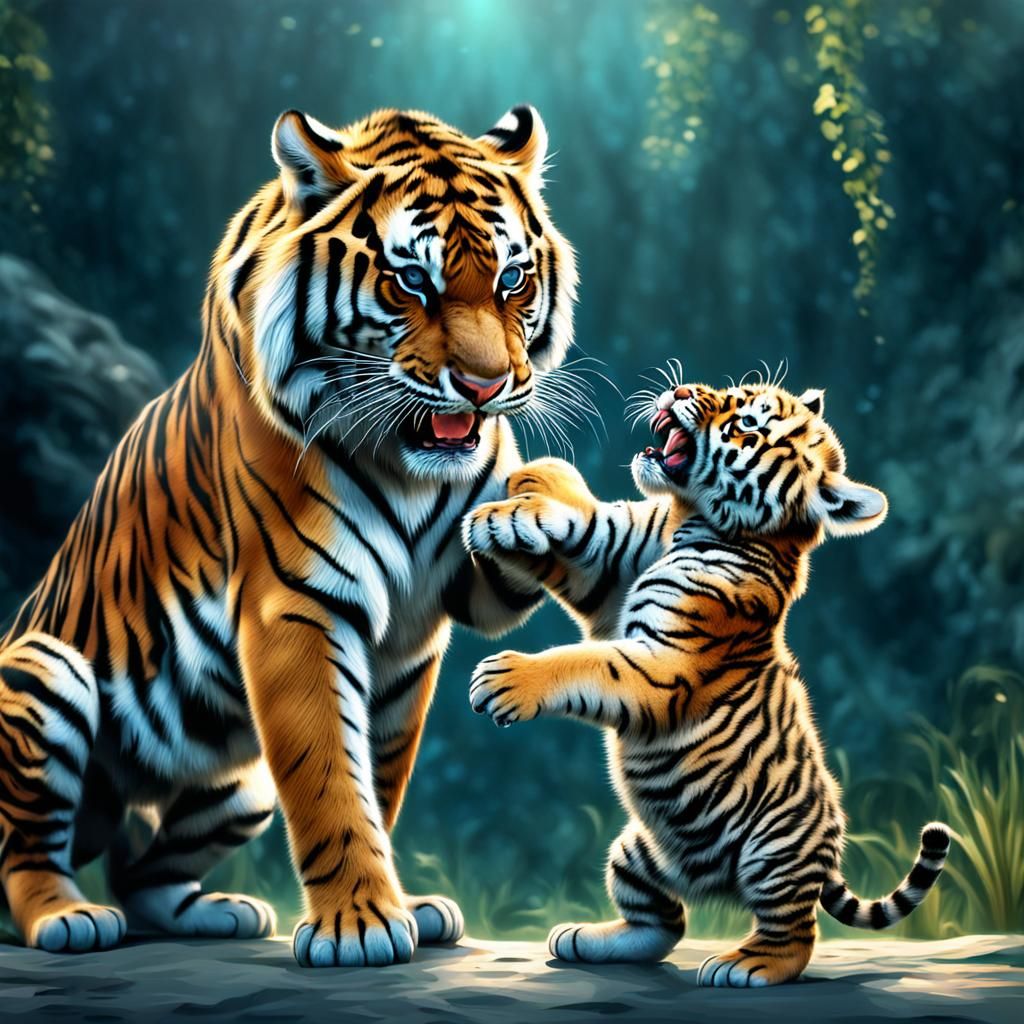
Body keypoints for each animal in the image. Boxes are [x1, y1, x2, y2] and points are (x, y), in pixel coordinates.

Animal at [0, 104, 587, 967]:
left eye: (513, 279)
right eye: (412, 281)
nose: (485, 388)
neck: (410, 465)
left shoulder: (430, 617)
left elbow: (382, 777)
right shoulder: (299, 606)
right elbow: (331, 781)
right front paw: (362, 925)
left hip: (238, 785)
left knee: (142, 875)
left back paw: (219, 912)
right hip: (47, 671)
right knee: (28, 850)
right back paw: (64, 918)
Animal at [462, 374, 951, 986]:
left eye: (746, 423)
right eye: (736, 390)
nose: (679, 391)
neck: (687, 517)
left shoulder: (661, 663)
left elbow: (584, 662)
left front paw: (505, 678)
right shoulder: (610, 576)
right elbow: (589, 520)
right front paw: (527, 493)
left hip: (773, 853)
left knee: (796, 931)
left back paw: (745, 966)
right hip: (635, 852)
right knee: (662, 922)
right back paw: (585, 938)